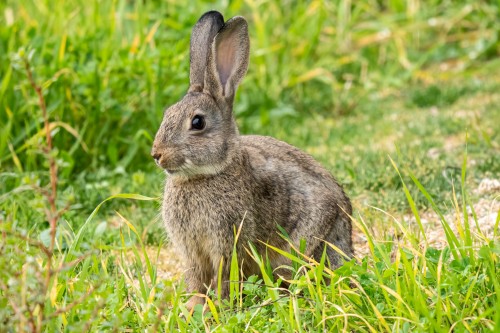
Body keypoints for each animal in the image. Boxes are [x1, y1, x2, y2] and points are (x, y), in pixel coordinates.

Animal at [150, 11, 354, 310]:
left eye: (197, 123)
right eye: (167, 113)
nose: (157, 154)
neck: (206, 174)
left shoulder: (228, 243)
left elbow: (224, 276)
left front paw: (217, 306)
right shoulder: (192, 251)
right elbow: (196, 279)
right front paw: (193, 306)